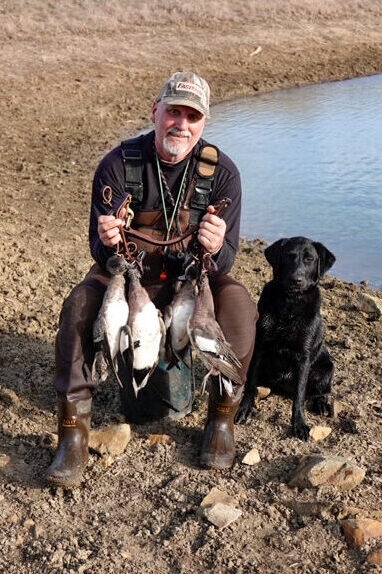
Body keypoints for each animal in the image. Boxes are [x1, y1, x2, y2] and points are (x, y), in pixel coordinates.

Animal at [236, 236, 338, 444]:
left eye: (309, 259)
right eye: (289, 256)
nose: (296, 280)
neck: (289, 305)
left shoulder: (303, 358)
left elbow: (299, 396)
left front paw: (299, 424)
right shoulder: (260, 348)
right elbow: (250, 384)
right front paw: (245, 409)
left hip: (327, 366)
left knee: (320, 392)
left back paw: (322, 405)